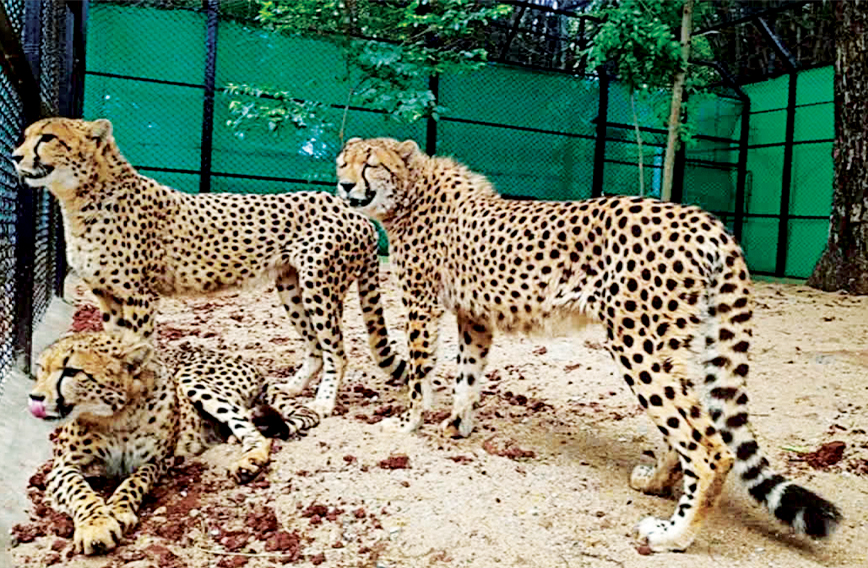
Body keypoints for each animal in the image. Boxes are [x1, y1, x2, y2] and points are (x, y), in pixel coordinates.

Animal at [11, 117, 407, 418]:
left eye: (47, 138)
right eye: (27, 135)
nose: (15, 156)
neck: (80, 198)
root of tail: (355, 212)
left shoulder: (138, 297)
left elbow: (139, 346)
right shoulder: (107, 296)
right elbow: (115, 348)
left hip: (319, 287)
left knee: (336, 351)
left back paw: (323, 403)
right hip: (292, 287)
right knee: (315, 346)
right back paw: (293, 387)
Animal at [27, 330, 320, 555]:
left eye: (71, 371)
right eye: (41, 369)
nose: (35, 397)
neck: (116, 416)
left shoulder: (159, 460)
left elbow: (134, 481)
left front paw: (118, 511)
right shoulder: (61, 467)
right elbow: (80, 491)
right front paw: (96, 526)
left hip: (192, 379)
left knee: (252, 428)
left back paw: (250, 461)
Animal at [335, 137, 842, 552]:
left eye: (370, 163)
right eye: (344, 160)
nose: (341, 184)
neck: (411, 193)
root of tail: (706, 219)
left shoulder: (422, 306)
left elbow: (421, 371)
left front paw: (407, 423)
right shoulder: (475, 317)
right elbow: (467, 375)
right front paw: (457, 426)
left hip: (635, 343)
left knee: (710, 449)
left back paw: (674, 535)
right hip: (669, 344)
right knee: (687, 426)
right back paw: (657, 482)